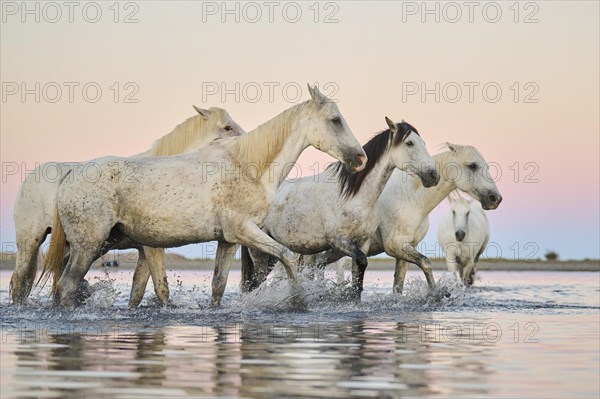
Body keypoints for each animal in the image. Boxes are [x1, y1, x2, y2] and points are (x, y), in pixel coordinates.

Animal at [9, 108, 244, 304]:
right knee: (20, 282)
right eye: (227, 127)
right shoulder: (151, 248)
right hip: (30, 242)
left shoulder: (145, 249)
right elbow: (161, 289)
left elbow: (138, 291)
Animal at [44, 86, 366, 308]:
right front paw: (298, 300)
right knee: (68, 286)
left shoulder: (228, 240)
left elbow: (219, 285)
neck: (247, 165)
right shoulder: (244, 231)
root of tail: (71, 175)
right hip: (88, 246)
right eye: (335, 120)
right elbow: (287, 255)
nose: (361, 158)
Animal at [239, 117, 440, 296]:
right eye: (410, 143)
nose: (434, 175)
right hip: (260, 252)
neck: (355, 197)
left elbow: (359, 277)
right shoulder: (339, 240)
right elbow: (361, 264)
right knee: (255, 284)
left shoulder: (362, 243)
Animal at [310, 143, 502, 296]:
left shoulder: (405, 249)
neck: (411, 198)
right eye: (473, 165)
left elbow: (399, 285)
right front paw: (436, 294)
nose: (495, 198)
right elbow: (426, 262)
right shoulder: (395, 245)